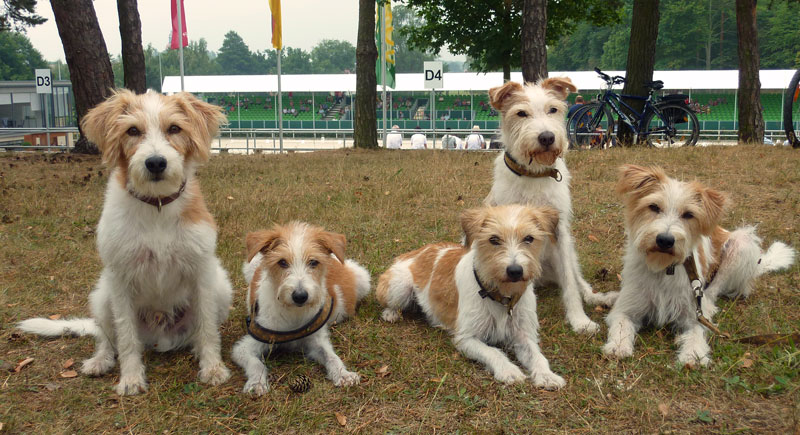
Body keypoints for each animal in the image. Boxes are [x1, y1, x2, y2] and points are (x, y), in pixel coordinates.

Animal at [18, 90, 232, 395]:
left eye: (174, 128)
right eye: (132, 131)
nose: (155, 162)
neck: (157, 207)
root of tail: (159, 336)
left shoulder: (201, 271)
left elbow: (207, 328)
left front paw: (213, 367)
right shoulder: (120, 279)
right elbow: (126, 336)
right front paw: (130, 378)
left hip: (221, 287)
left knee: (198, 330)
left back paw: (196, 349)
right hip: (102, 295)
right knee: (108, 338)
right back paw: (100, 361)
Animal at [232, 222, 370, 395]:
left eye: (313, 262)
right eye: (282, 262)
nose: (300, 296)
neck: (293, 313)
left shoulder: (316, 340)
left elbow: (331, 356)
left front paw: (343, 374)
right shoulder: (244, 346)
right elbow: (255, 363)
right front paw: (256, 382)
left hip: (363, 278)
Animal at [377, 204, 566, 389]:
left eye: (529, 238)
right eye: (493, 239)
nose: (515, 271)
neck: (500, 296)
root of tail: (417, 251)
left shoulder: (524, 334)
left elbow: (538, 356)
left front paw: (547, 376)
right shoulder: (466, 338)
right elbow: (493, 352)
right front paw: (508, 370)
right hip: (399, 287)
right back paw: (391, 313)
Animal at [484, 78, 617, 334]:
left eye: (553, 110)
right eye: (521, 113)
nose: (546, 137)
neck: (534, 174)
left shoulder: (560, 231)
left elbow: (571, 285)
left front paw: (579, 320)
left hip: (569, 252)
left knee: (578, 279)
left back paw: (597, 298)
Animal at [603, 165, 795, 366]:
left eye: (689, 214)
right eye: (653, 207)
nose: (665, 240)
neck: (664, 267)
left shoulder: (693, 314)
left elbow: (696, 331)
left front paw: (693, 353)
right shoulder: (627, 308)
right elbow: (621, 325)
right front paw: (618, 346)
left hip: (740, 244)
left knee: (714, 291)